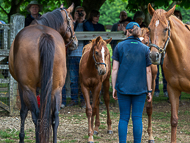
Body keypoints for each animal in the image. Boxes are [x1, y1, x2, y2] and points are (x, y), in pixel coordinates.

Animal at [8, 3, 77, 142]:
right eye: (72, 22)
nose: (76, 42)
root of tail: (44, 35)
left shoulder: (22, 86)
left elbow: (23, 112)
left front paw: (21, 137)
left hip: (29, 88)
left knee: (36, 116)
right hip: (56, 88)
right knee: (54, 117)